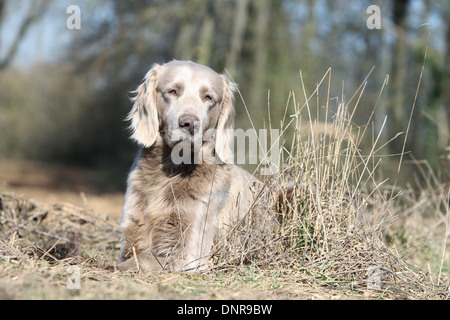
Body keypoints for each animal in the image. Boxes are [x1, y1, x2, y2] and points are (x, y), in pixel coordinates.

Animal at [118, 58, 268, 272]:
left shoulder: (190, 254)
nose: (189, 123)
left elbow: (146, 258)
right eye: (172, 91)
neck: (170, 170)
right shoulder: (132, 231)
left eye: (208, 97)